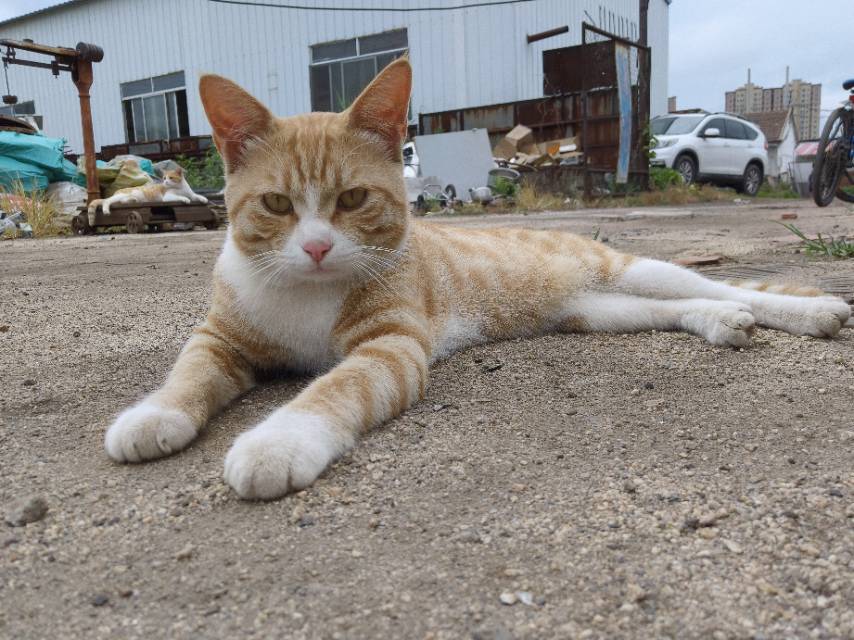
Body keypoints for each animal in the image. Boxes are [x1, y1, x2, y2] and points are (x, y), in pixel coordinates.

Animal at [103, 58, 852, 500]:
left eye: (353, 200)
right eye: (278, 205)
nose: (315, 248)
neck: (305, 295)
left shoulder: (391, 347)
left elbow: (333, 389)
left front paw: (276, 441)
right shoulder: (220, 337)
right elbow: (190, 373)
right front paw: (154, 414)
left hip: (635, 267)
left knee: (728, 287)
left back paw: (806, 313)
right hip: (599, 310)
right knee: (682, 305)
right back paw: (718, 323)